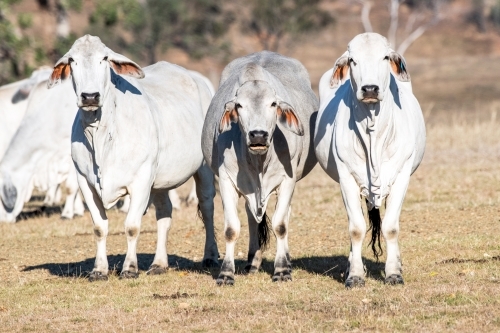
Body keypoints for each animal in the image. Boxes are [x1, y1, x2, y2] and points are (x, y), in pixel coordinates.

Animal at [47, 35, 218, 280]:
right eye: (72, 60)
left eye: (104, 58)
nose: (90, 96)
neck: (102, 136)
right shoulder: (85, 182)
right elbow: (99, 228)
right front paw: (99, 269)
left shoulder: (141, 181)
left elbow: (132, 226)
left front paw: (129, 268)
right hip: (160, 181)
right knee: (164, 214)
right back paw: (159, 263)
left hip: (203, 169)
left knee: (207, 207)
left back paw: (211, 256)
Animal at [202, 50, 316, 284]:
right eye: (239, 105)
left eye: (273, 104)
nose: (258, 135)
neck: (259, 161)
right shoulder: (226, 180)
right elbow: (231, 229)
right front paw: (226, 273)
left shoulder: (288, 180)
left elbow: (280, 225)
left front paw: (281, 270)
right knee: (251, 217)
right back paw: (252, 261)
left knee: (285, 215)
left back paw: (286, 260)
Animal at [314, 34, 424, 288]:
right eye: (353, 60)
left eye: (384, 57)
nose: (370, 89)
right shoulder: (346, 178)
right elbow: (356, 228)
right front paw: (354, 275)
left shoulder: (401, 176)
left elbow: (391, 227)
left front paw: (394, 273)